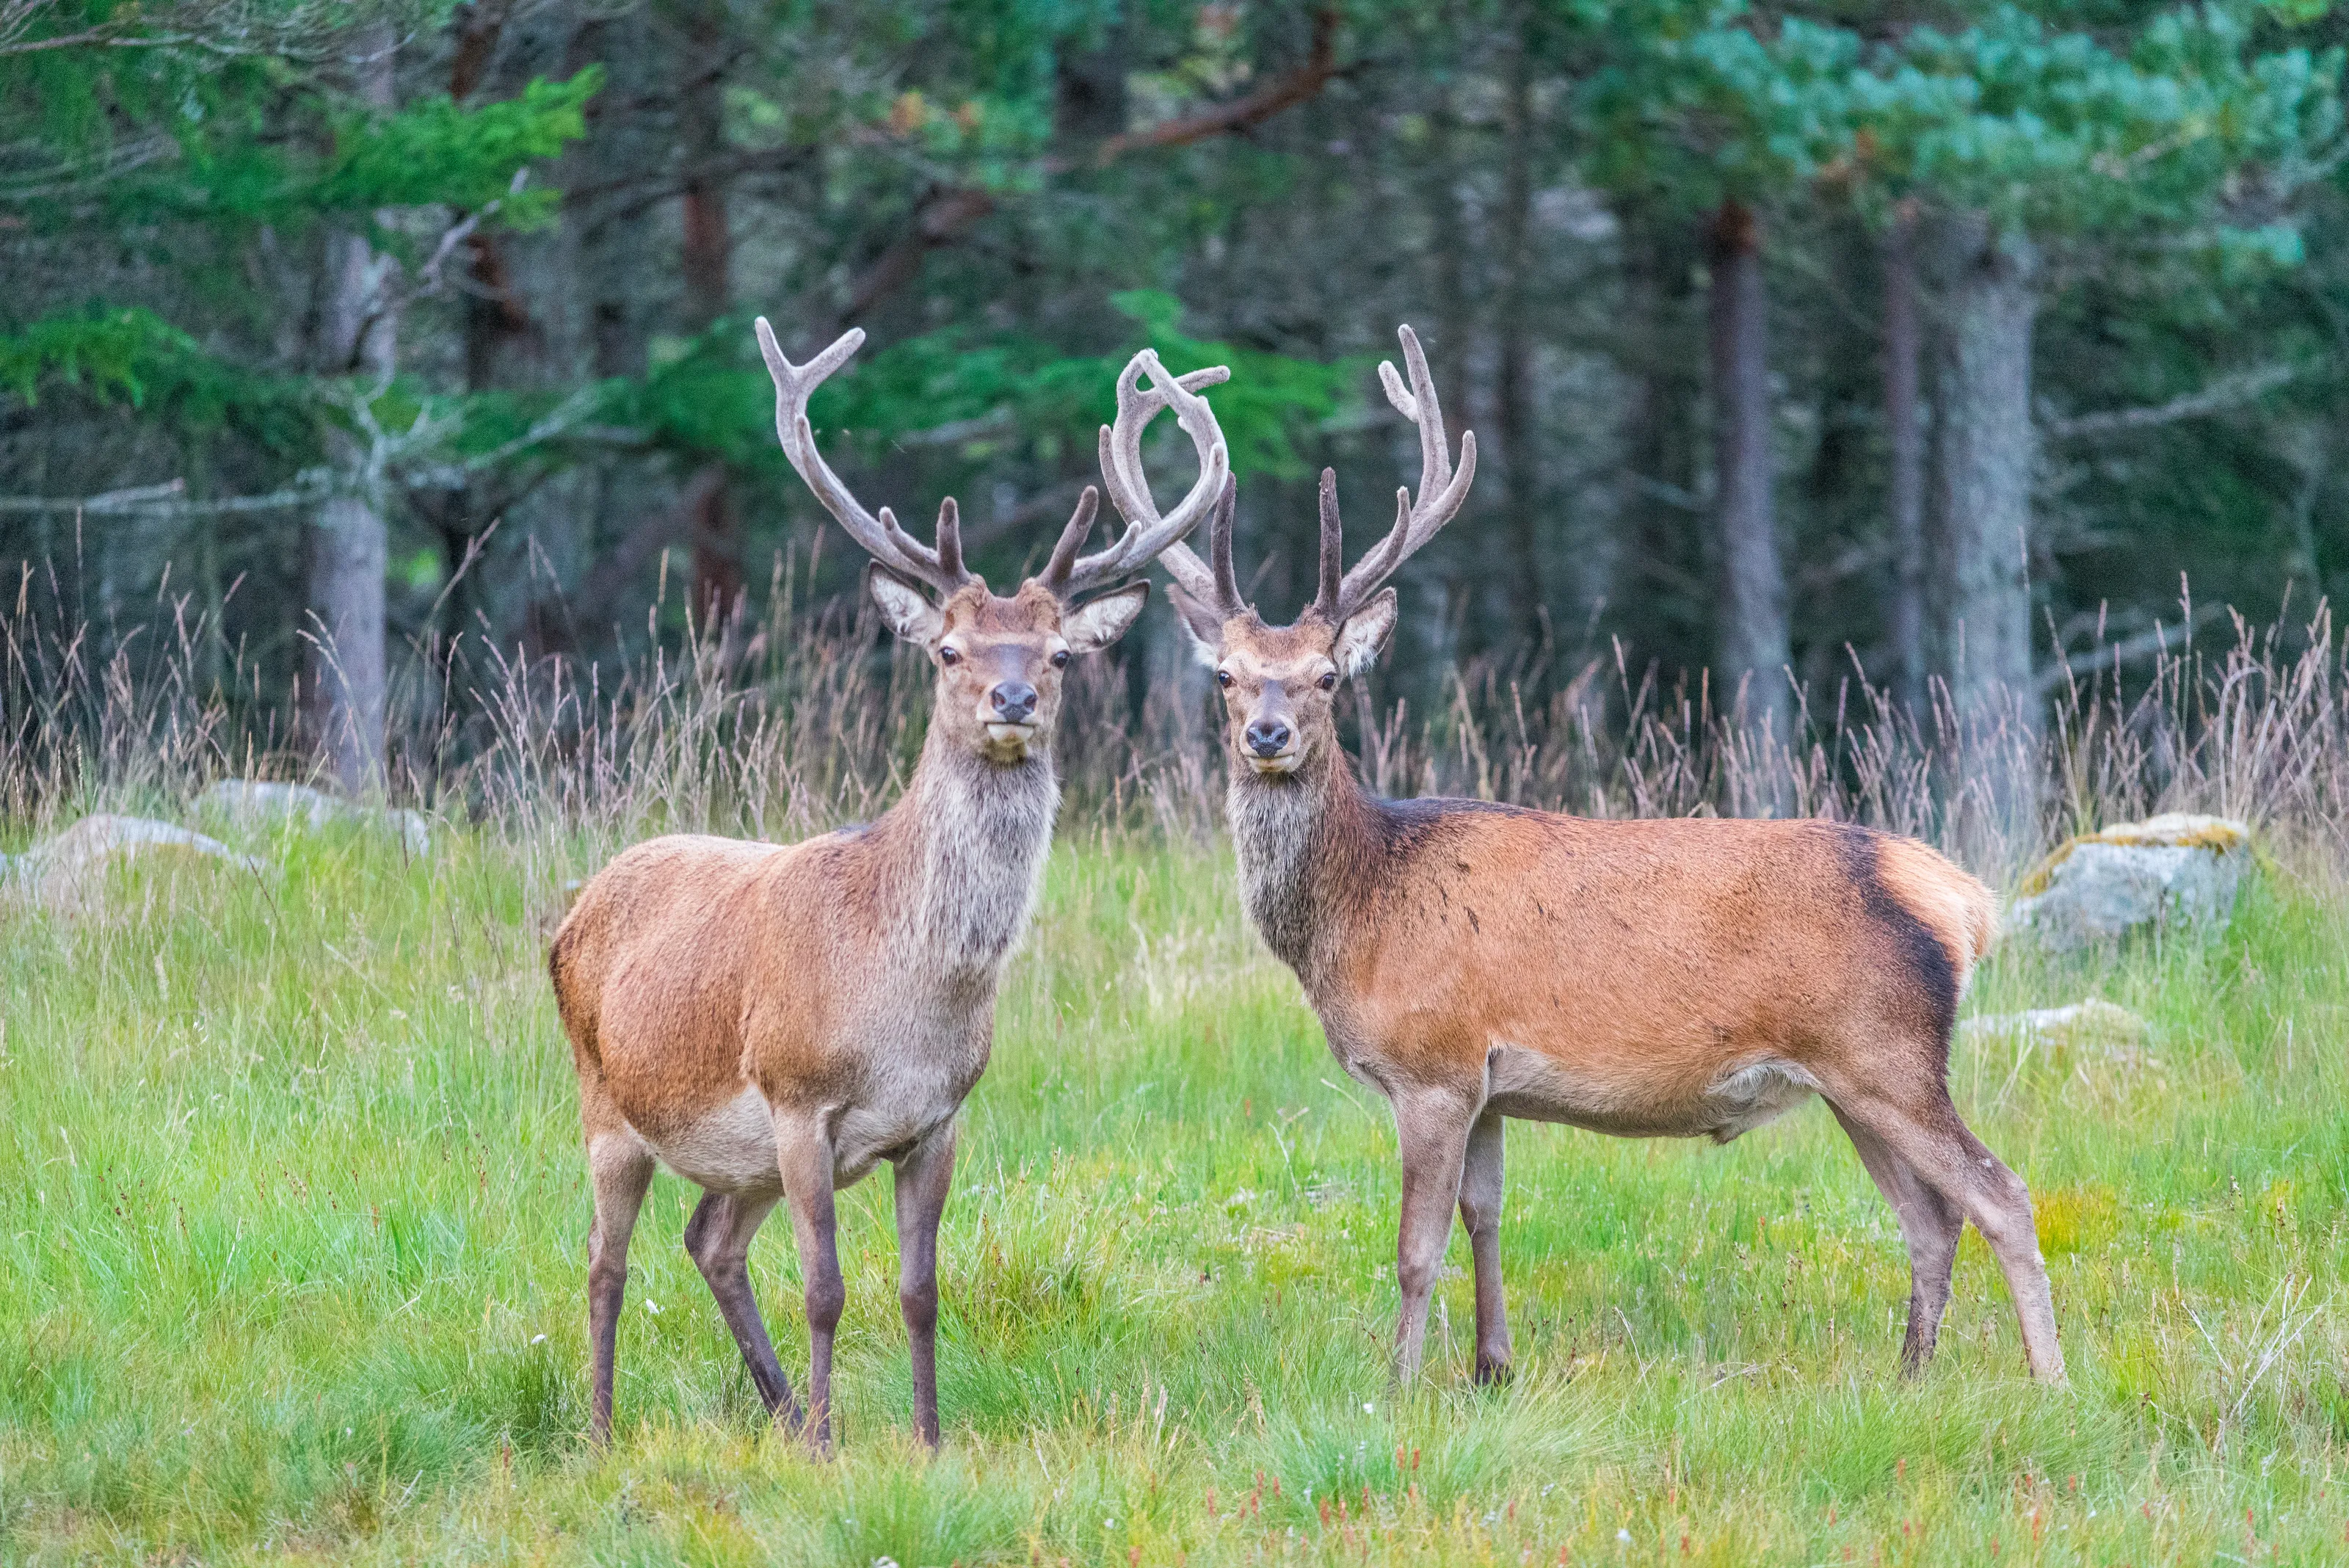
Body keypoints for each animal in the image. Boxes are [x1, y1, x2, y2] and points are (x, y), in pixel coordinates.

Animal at [549, 319, 1231, 1450]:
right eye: (948, 648)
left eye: (1059, 654)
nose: (1010, 700)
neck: (908, 996)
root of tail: (571, 914)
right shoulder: (798, 1098)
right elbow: (827, 1288)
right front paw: (834, 1448)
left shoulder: (938, 1119)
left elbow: (920, 1290)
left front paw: (925, 1439)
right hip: (608, 1102)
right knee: (606, 1264)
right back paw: (608, 1431)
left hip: (731, 1156)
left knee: (709, 1240)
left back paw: (780, 1413)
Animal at [1147, 324, 2063, 1388]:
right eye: (1225, 675)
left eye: (1329, 677)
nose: (1267, 734)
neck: (1358, 909)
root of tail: (1962, 900)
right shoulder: (1488, 1086)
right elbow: (1486, 1217)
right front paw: (1492, 1367)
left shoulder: (1433, 1064)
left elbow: (1417, 1250)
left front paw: (1398, 1385)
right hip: (1851, 1077)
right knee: (1929, 1217)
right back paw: (1909, 1377)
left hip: (1888, 1050)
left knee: (2000, 1192)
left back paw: (2049, 1382)